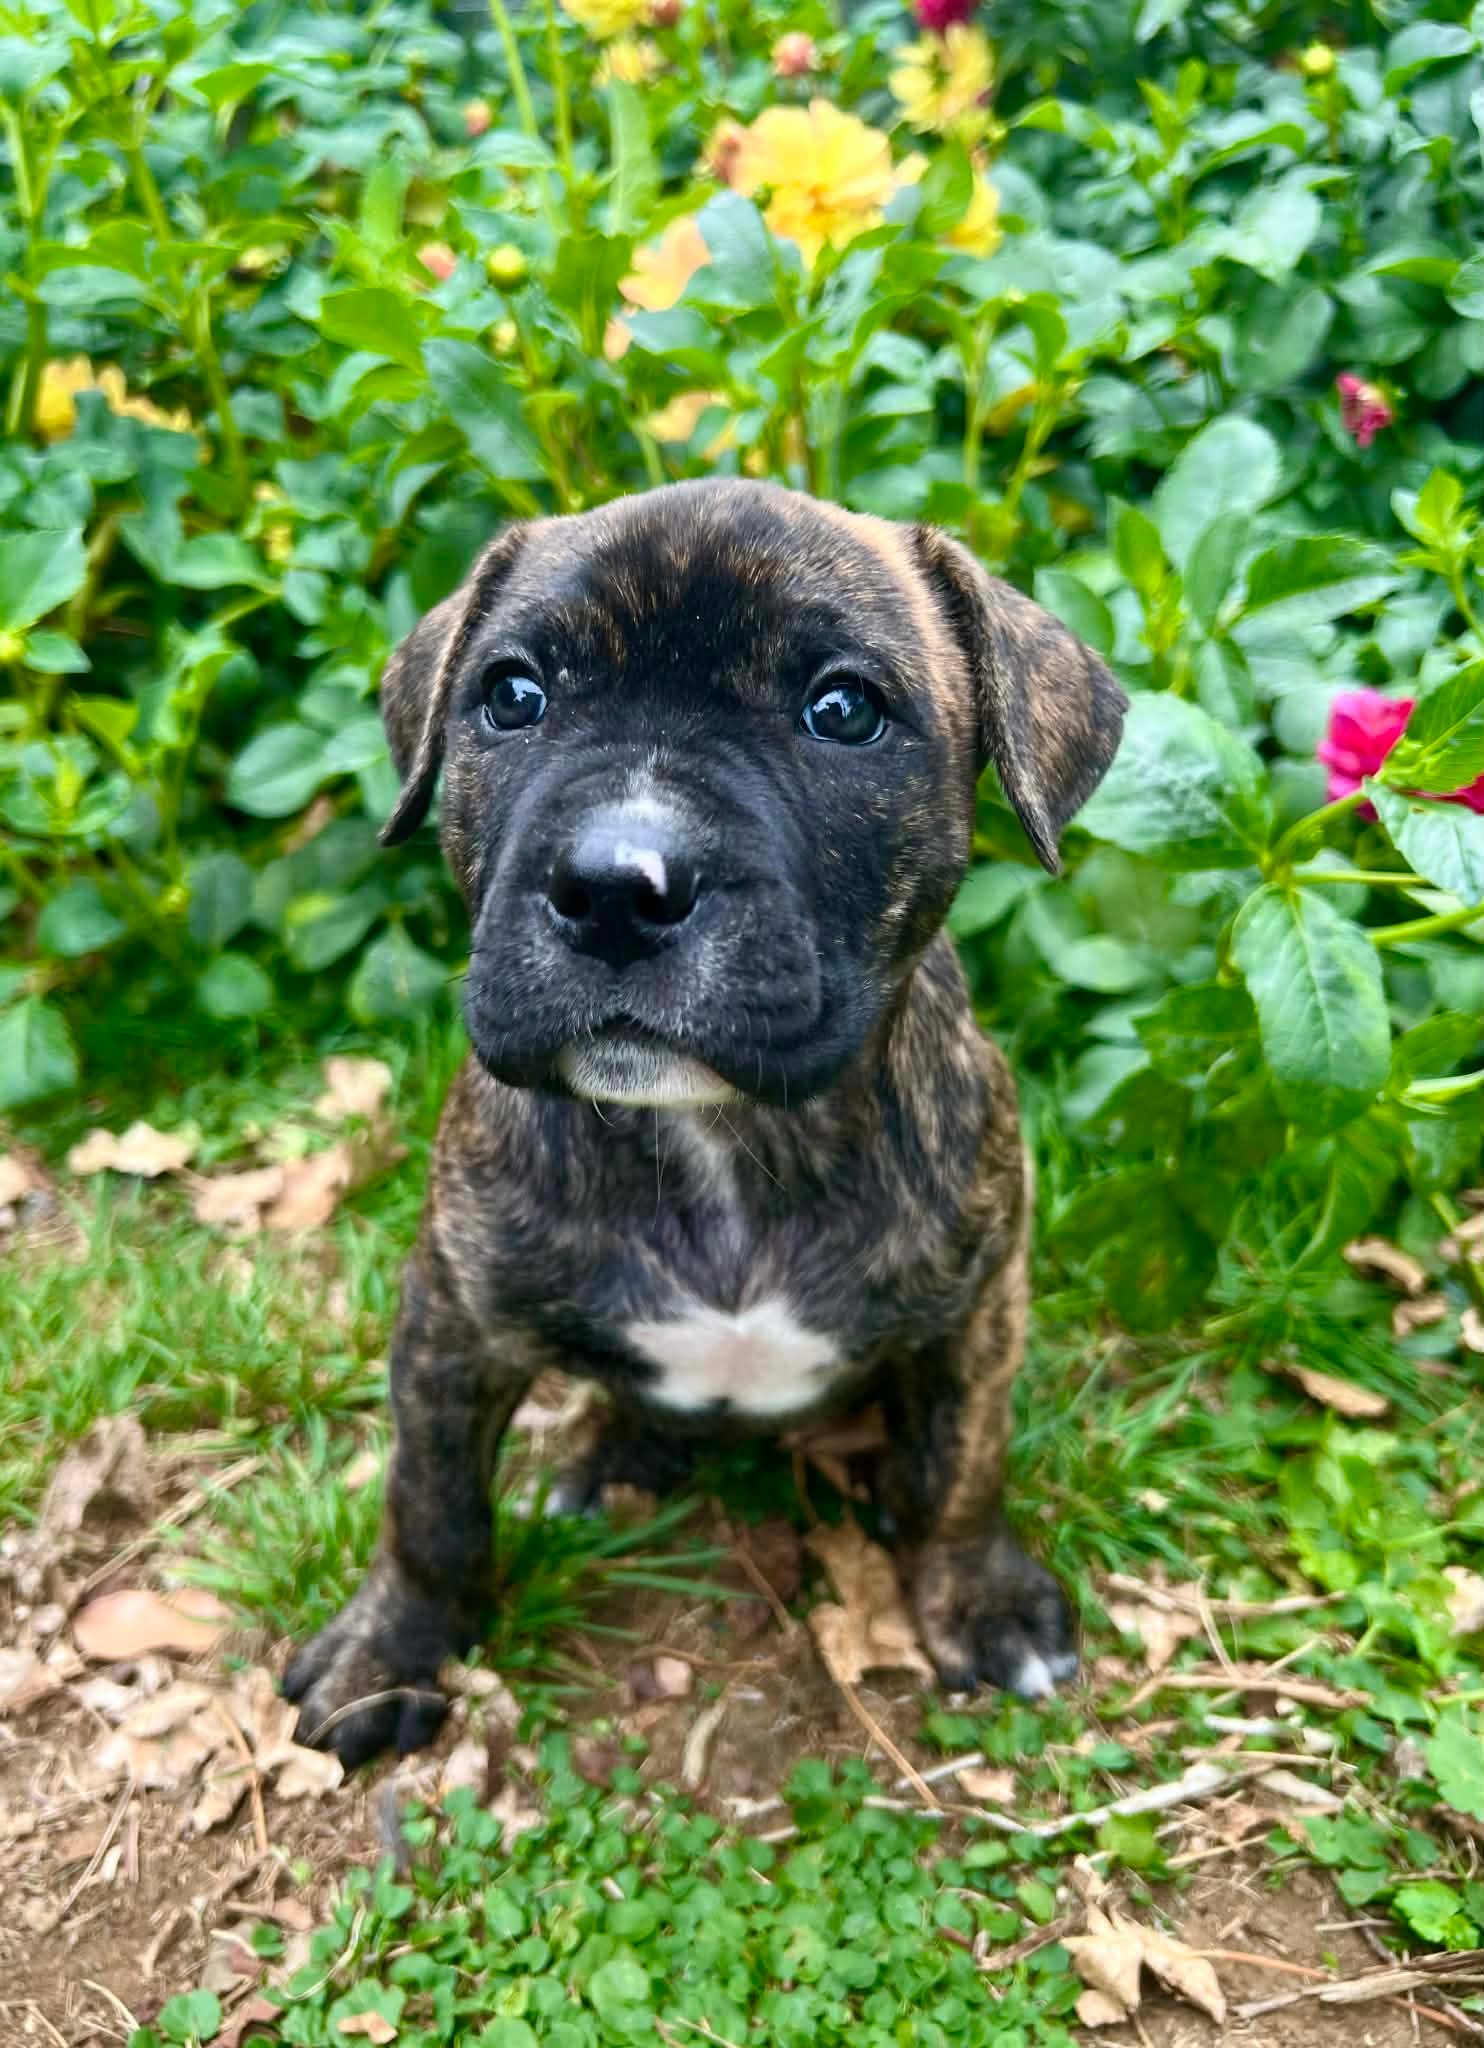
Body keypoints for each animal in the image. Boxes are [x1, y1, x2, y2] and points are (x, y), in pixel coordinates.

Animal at [283, 479, 1126, 1765]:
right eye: (511, 695)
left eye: (842, 709)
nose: (612, 886)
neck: (719, 1137)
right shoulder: (451, 1315)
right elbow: (428, 1500)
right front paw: (391, 1647)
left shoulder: (977, 1304)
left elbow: (964, 1462)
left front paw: (977, 1595)